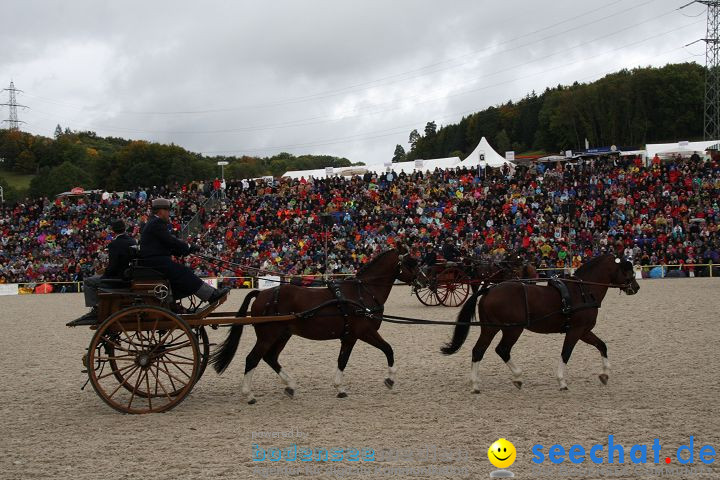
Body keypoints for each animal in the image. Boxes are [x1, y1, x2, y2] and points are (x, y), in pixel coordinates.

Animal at [208, 249, 420, 404]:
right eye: (412, 263)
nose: (423, 280)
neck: (362, 292)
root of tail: (262, 293)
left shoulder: (349, 337)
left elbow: (343, 360)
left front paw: (340, 388)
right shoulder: (364, 332)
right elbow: (387, 349)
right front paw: (390, 379)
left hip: (283, 335)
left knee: (270, 358)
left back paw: (290, 386)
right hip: (268, 336)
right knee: (252, 359)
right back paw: (249, 394)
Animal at [442, 255, 640, 390]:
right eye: (627, 270)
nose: (636, 287)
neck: (583, 291)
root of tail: (490, 290)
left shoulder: (584, 331)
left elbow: (602, 346)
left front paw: (605, 374)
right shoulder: (575, 331)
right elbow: (566, 353)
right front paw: (562, 381)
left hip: (491, 328)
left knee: (479, 350)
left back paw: (480, 383)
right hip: (512, 330)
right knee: (501, 349)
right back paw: (512, 377)